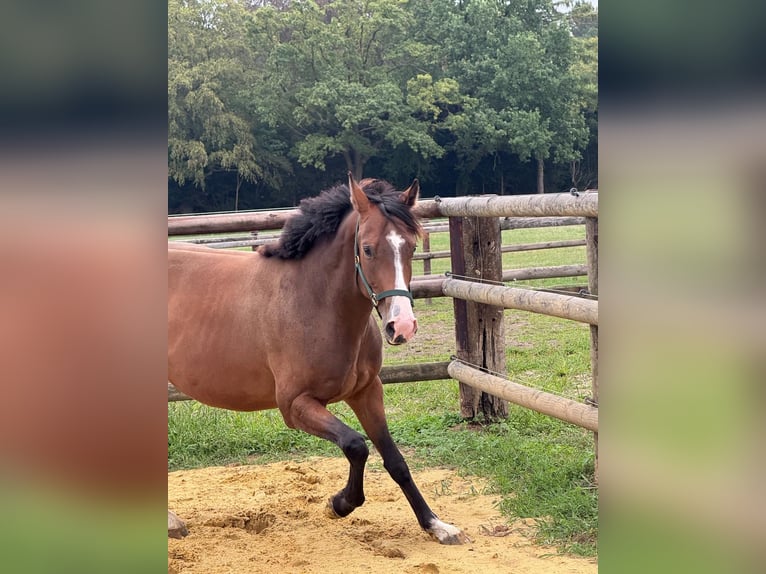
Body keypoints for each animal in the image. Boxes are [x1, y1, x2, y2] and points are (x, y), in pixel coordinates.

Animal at [168, 173, 467, 545]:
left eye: (411, 247)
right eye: (367, 249)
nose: (402, 326)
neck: (314, 301)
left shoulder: (367, 392)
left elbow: (396, 461)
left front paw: (436, 525)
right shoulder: (295, 405)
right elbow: (356, 445)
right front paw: (339, 504)